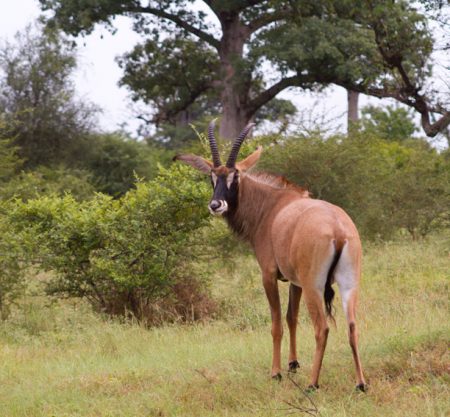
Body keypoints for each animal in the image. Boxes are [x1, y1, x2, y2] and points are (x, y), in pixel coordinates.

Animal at [174, 119, 368, 390]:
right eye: (212, 176)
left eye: (235, 176)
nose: (216, 205)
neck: (271, 206)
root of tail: (338, 229)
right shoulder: (294, 282)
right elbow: (291, 317)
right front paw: (293, 364)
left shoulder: (269, 275)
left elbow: (276, 323)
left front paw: (276, 372)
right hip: (348, 284)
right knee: (352, 325)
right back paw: (360, 383)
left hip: (314, 286)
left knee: (322, 328)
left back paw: (313, 384)